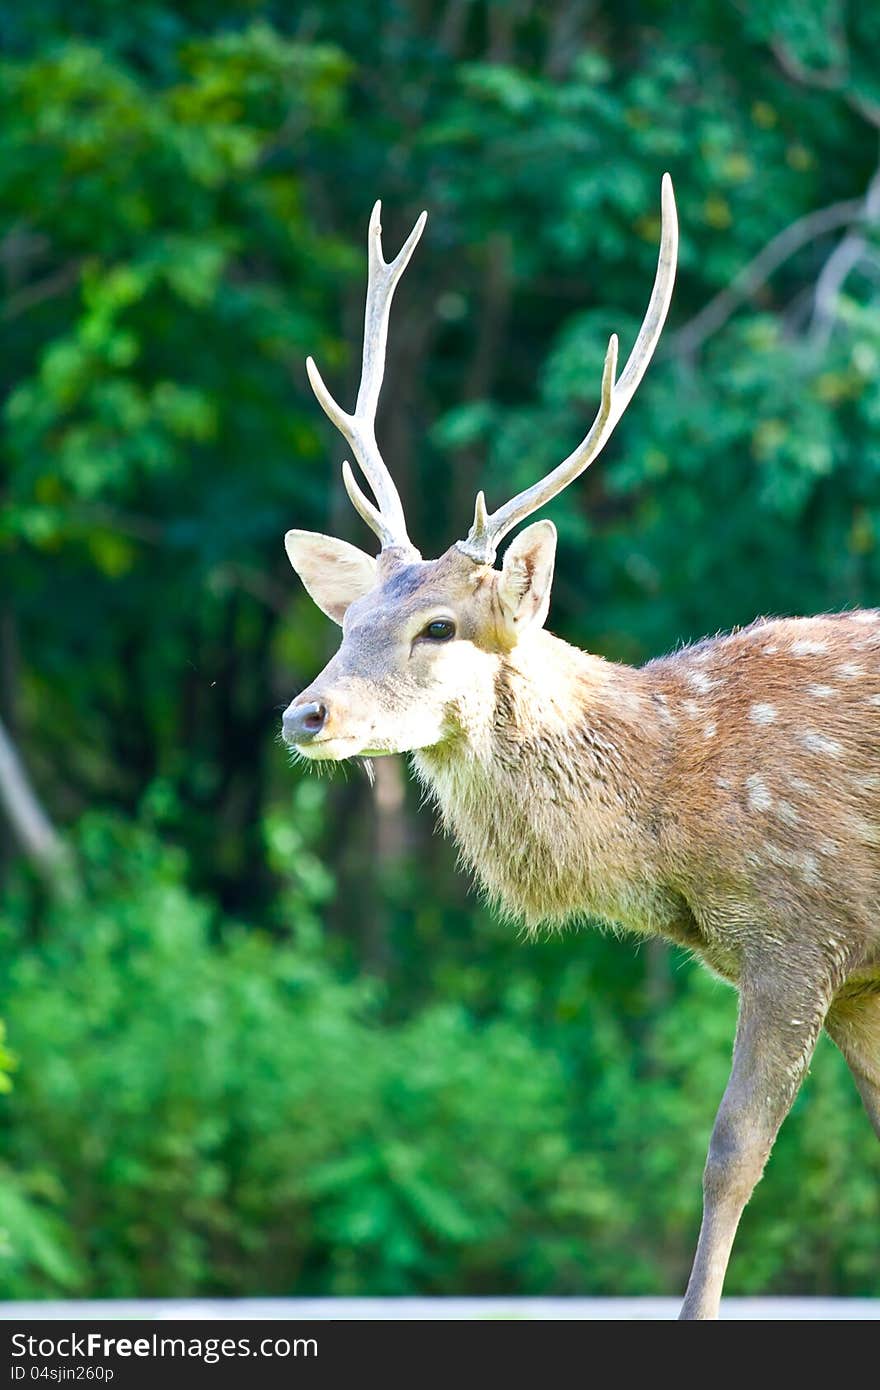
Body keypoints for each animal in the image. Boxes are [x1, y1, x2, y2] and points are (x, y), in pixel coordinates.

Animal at [279, 179, 878, 1317]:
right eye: (350, 620)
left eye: (437, 626)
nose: (305, 715)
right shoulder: (858, 974)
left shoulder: (803, 929)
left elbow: (729, 1156)